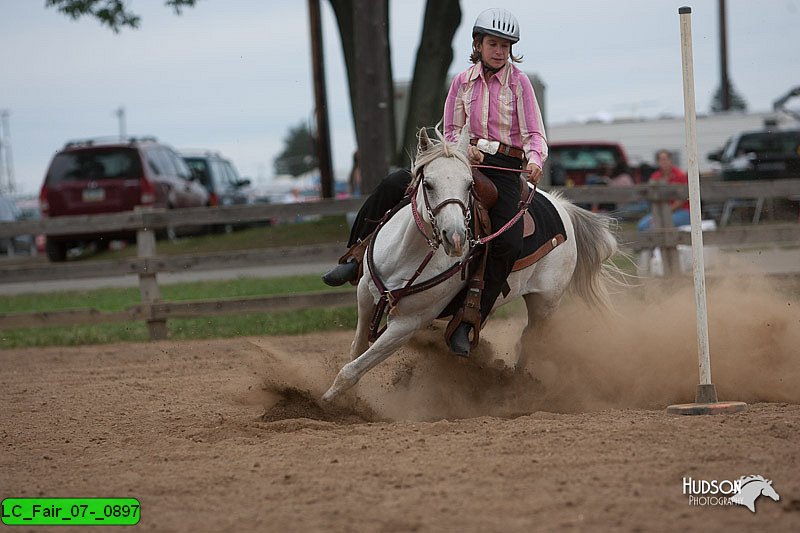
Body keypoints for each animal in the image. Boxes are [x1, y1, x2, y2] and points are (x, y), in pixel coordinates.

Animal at [320, 129, 620, 402]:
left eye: (468, 185)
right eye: (428, 184)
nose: (454, 238)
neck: (406, 255)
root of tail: (562, 206)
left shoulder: (407, 324)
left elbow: (353, 368)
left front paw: (328, 403)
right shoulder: (365, 293)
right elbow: (356, 349)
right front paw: (349, 399)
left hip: (545, 302)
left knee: (529, 339)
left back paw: (515, 386)